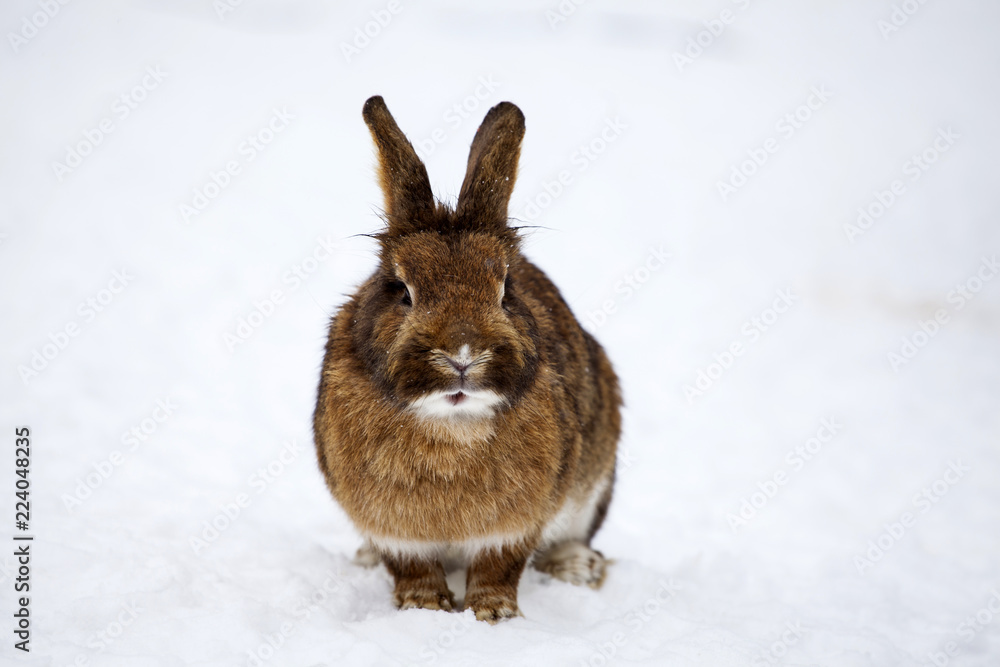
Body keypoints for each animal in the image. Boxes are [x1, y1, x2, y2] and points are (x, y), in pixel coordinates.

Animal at [313, 95, 621, 623]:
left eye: (505, 289)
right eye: (403, 290)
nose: (462, 356)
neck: (450, 423)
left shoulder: (515, 526)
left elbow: (499, 567)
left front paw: (493, 616)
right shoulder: (393, 529)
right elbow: (411, 566)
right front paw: (423, 609)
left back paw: (580, 568)